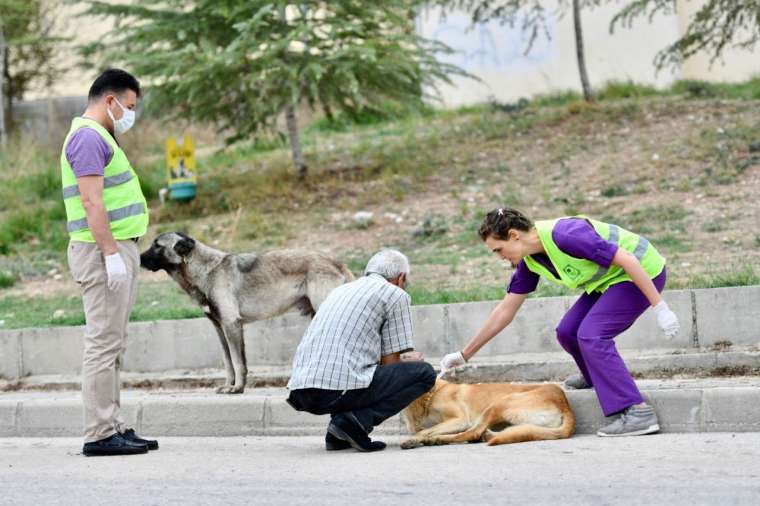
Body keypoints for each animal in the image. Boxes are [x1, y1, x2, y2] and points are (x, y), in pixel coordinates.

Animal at [400, 378, 572, 448]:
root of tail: (563, 400)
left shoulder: (460, 419)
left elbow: (424, 431)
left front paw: (414, 439)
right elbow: (423, 430)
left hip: (498, 404)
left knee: (472, 432)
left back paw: (437, 440)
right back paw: (487, 436)